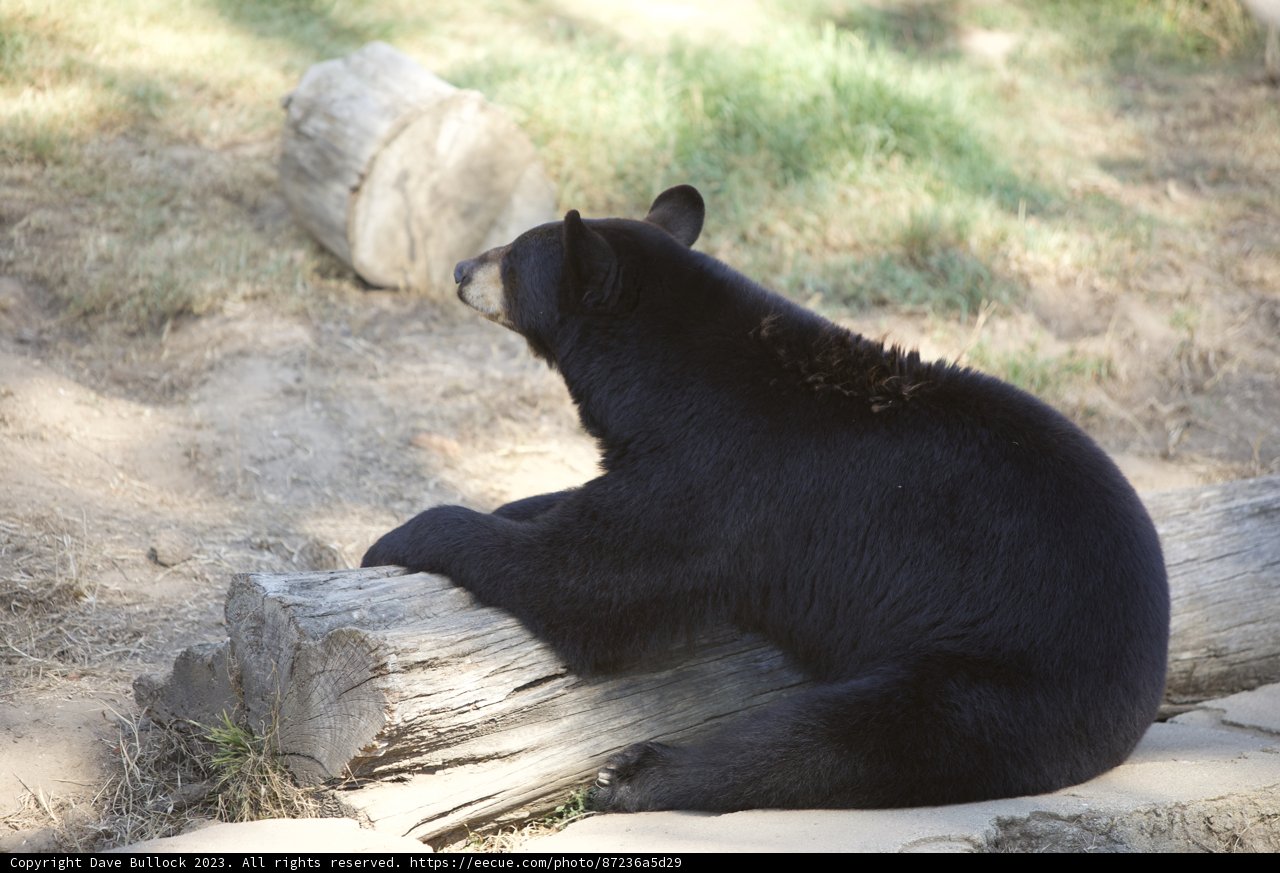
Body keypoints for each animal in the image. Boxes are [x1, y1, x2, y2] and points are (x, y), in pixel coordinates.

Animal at [362, 185, 1170, 813]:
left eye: (513, 255)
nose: (460, 267)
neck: (668, 377)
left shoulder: (721, 478)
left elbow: (589, 583)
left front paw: (400, 536)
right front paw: (508, 507)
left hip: (1011, 676)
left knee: (839, 739)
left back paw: (641, 776)